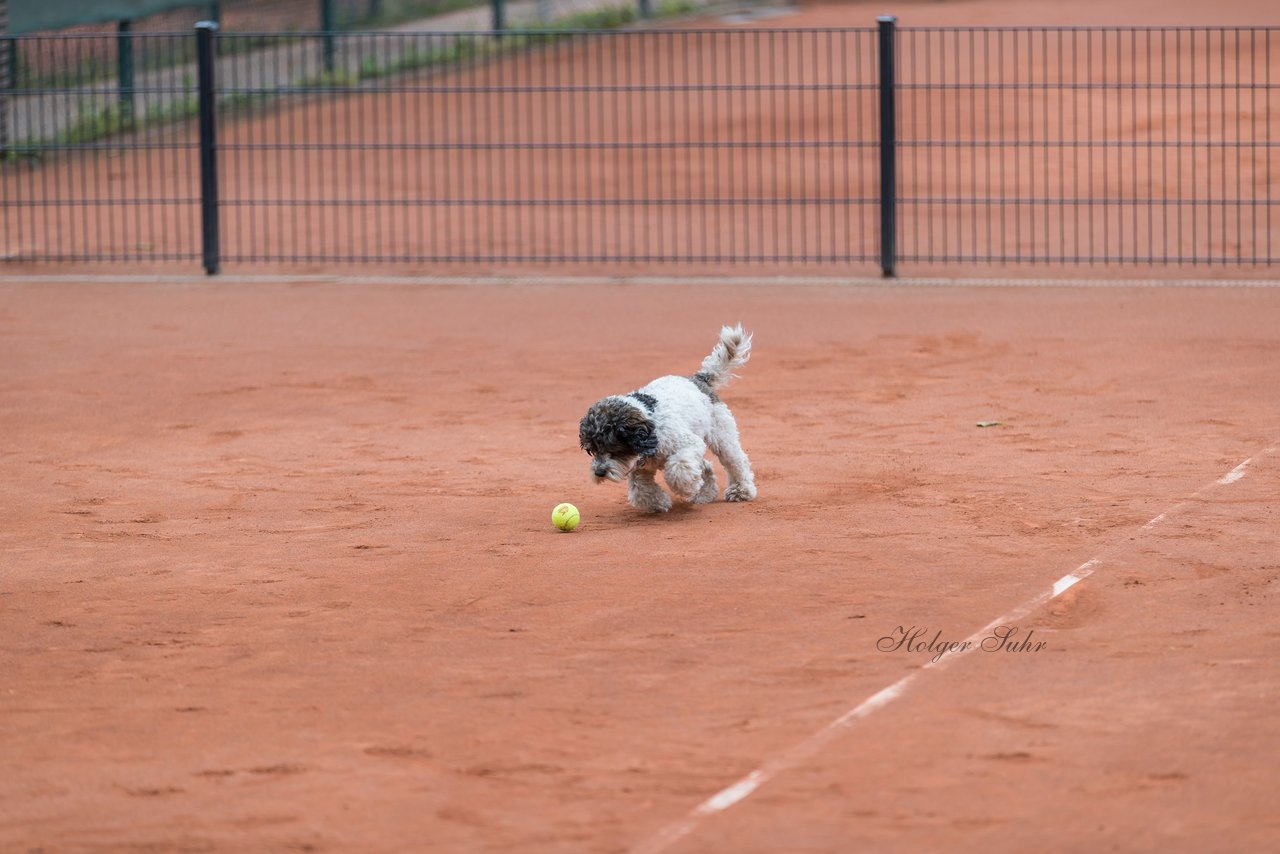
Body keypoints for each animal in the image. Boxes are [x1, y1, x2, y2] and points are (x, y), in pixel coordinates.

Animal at [578, 325, 752, 514]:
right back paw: (705, 494)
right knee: (706, 466)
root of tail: (698, 379)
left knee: (736, 461)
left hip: (722, 436)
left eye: (614, 449)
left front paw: (685, 487)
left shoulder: (688, 444)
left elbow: (679, 467)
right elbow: (640, 489)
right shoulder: (639, 468)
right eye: (592, 450)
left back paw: (740, 490)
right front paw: (658, 503)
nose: (599, 472)